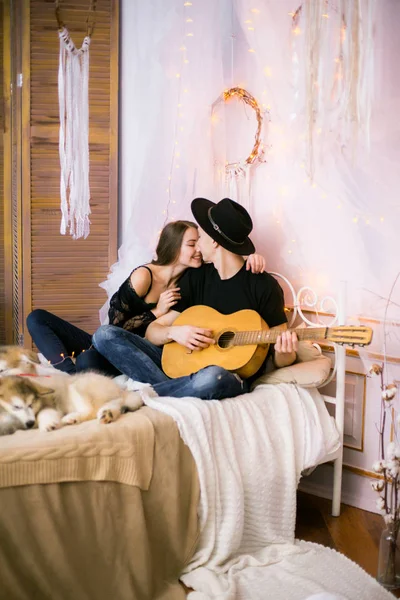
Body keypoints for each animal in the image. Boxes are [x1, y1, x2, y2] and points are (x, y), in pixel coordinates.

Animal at [0, 370, 148, 436]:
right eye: (16, 407)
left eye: (31, 405)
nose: (30, 423)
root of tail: (119, 388)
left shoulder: (49, 404)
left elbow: (44, 413)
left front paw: (48, 424)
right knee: (115, 404)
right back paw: (107, 413)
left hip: (78, 386)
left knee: (91, 410)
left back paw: (72, 417)